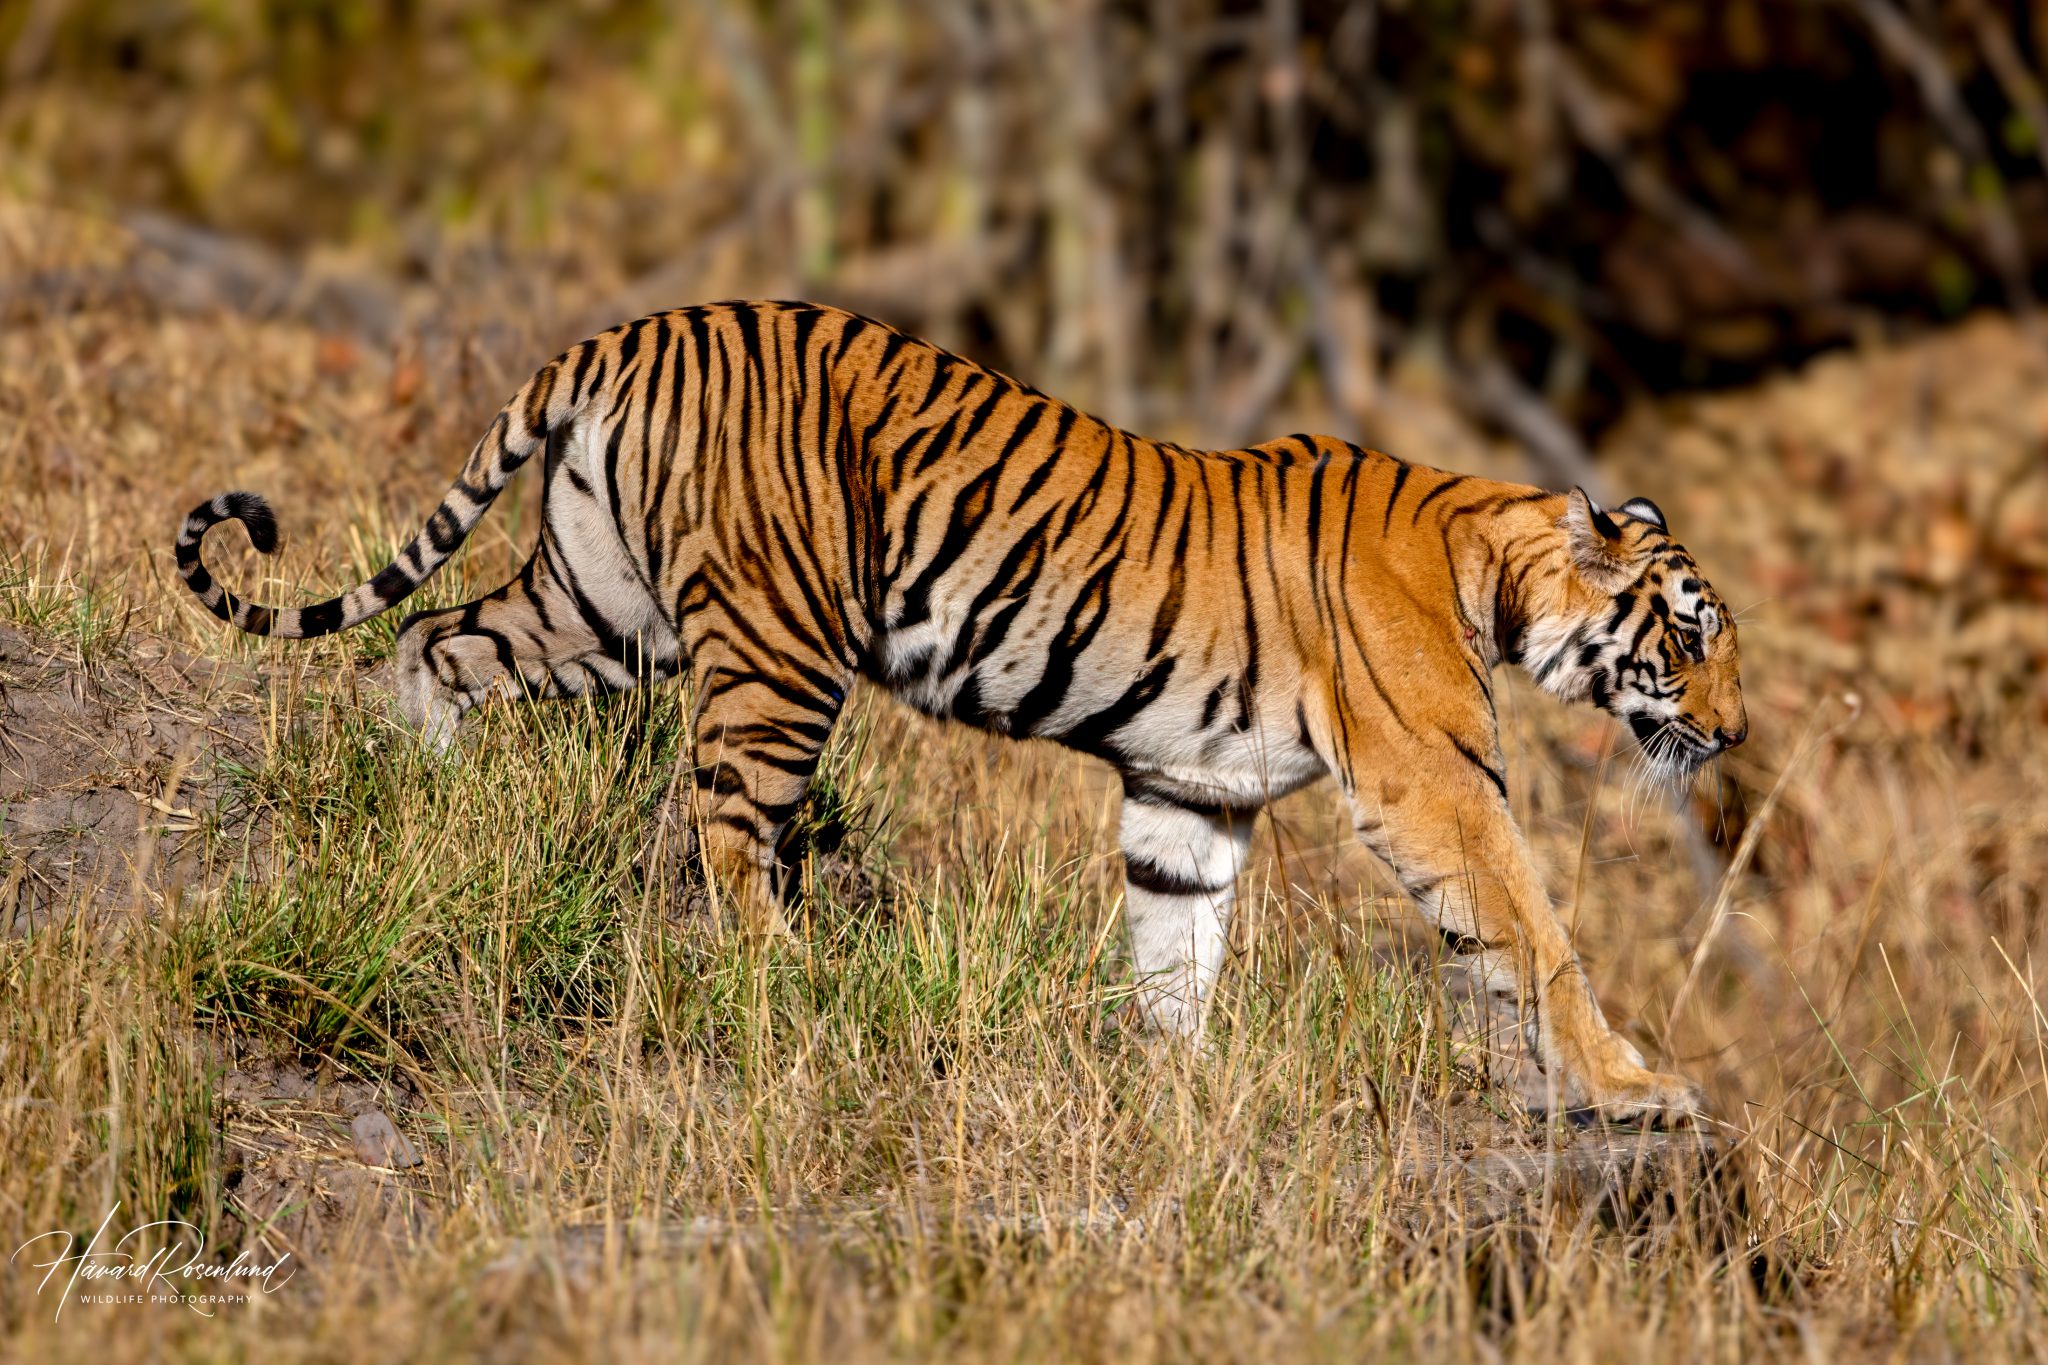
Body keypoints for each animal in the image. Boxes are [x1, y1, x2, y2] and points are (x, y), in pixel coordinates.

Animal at [175, 300, 1746, 1122]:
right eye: (1687, 633)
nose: (1731, 737)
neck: (1493, 563)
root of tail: (634, 328)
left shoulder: (1192, 793)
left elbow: (1175, 946)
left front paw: (1177, 1084)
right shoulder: (1436, 780)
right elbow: (1532, 932)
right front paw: (1634, 1087)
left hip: (600, 608)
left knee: (433, 642)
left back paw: (421, 798)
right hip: (777, 645)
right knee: (727, 829)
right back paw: (792, 987)